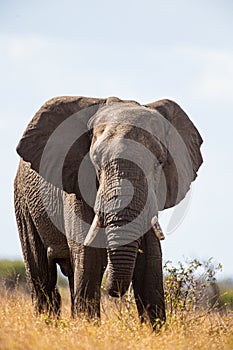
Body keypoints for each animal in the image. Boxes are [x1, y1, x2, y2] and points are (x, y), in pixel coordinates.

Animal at [14, 95, 202, 328]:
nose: (114, 293)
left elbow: (150, 263)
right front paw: (87, 329)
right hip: (24, 200)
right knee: (41, 274)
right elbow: (91, 259)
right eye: (95, 161)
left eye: (159, 163)